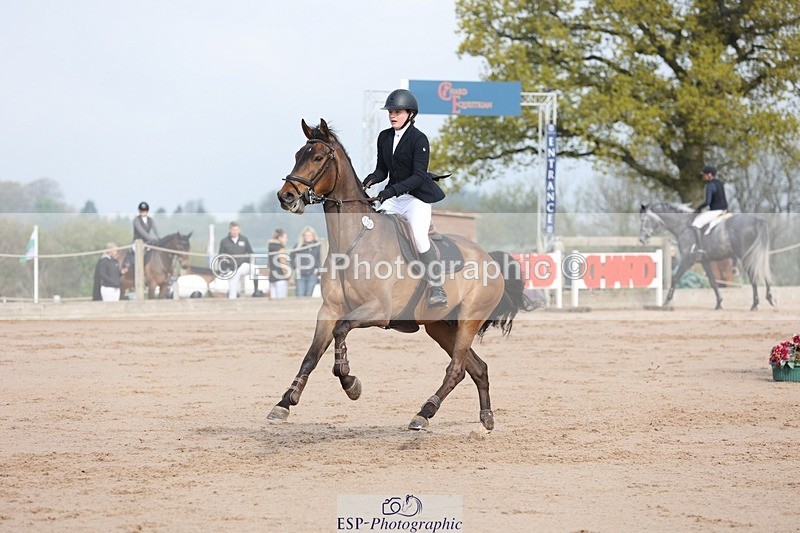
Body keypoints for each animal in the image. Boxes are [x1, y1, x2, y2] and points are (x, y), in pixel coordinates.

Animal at [271, 118, 534, 431]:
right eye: (299, 154)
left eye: (318, 158)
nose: (286, 196)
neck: (351, 242)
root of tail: (490, 259)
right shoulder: (329, 310)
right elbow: (311, 356)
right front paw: (285, 402)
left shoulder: (378, 310)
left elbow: (341, 330)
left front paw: (350, 382)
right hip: (441, 327)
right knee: (477, 368)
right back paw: (486, 417)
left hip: (469, 320)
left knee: (457, 369)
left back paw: (424, 413)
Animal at [639, 202, 775, 310]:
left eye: (643, 220)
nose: (641, 240)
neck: (683, 226)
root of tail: (756, 220)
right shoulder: (705, 261)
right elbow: (713, 282)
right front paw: (719, 303)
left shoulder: (687, 259)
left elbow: (675, 278)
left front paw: (667, 302)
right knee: (762, 272)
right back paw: (769, 299)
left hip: (747, 256)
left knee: (754, 276)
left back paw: (755, 304)